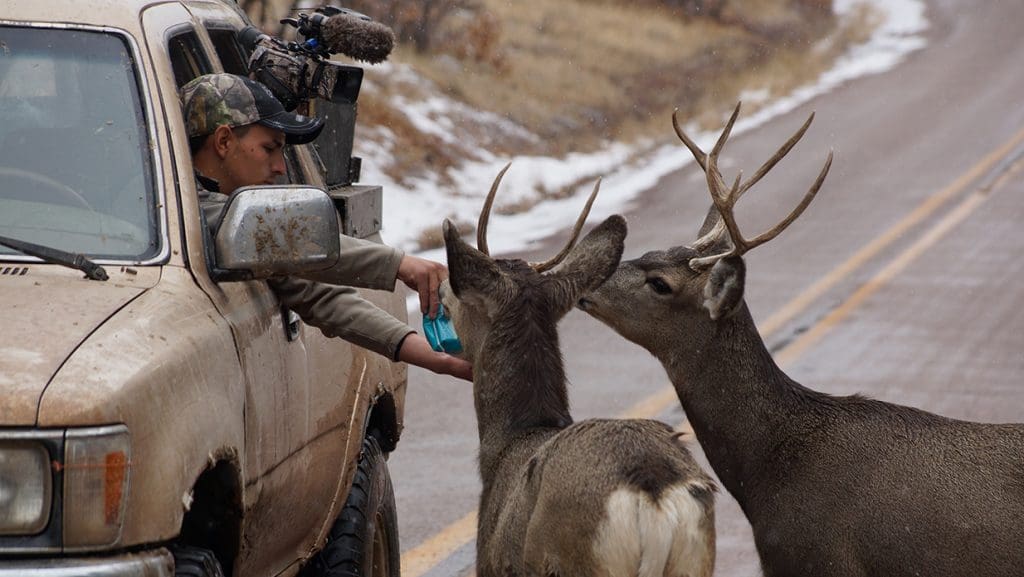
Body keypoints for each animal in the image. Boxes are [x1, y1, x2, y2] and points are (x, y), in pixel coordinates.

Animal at [438, 165, 717, 577]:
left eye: (459, 300)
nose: (440, 287)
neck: (509, 444)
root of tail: (653, 489)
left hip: (578, 558)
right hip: (695, 559)